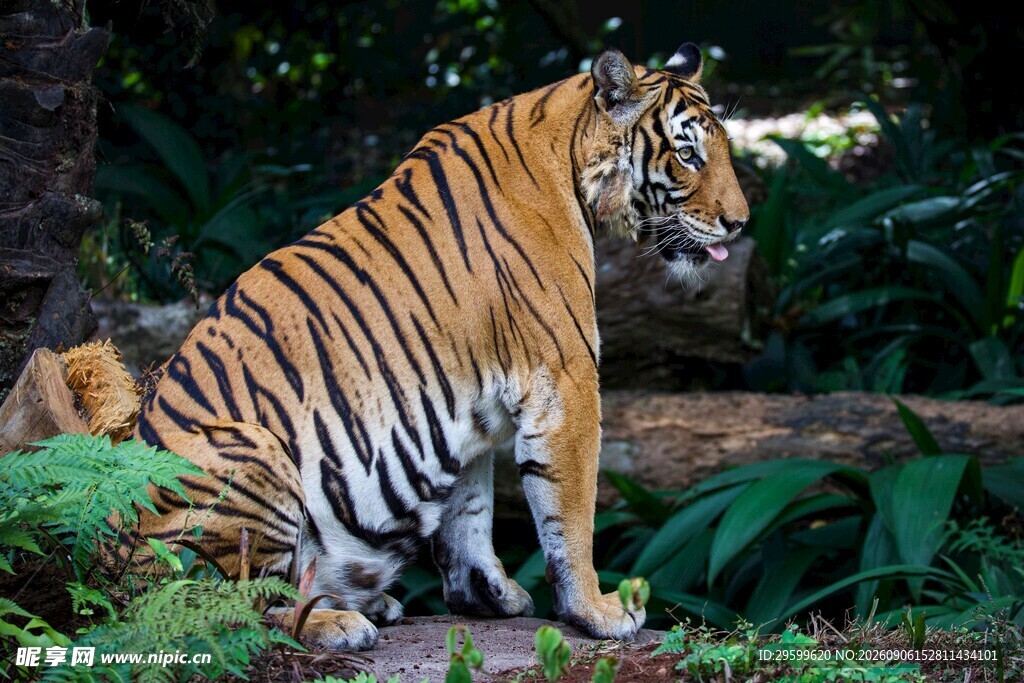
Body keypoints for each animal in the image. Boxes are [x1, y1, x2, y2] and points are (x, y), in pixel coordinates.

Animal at [126, 42, 749, 651]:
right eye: (688, 154)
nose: (741, 223)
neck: (573, 163)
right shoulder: (566, 380)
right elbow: (570, 511)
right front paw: (596, 611)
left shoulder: (460, 405)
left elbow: (468, 512)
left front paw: (486, 595)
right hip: (253, 453)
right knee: (221, 605)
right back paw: (337, 623)